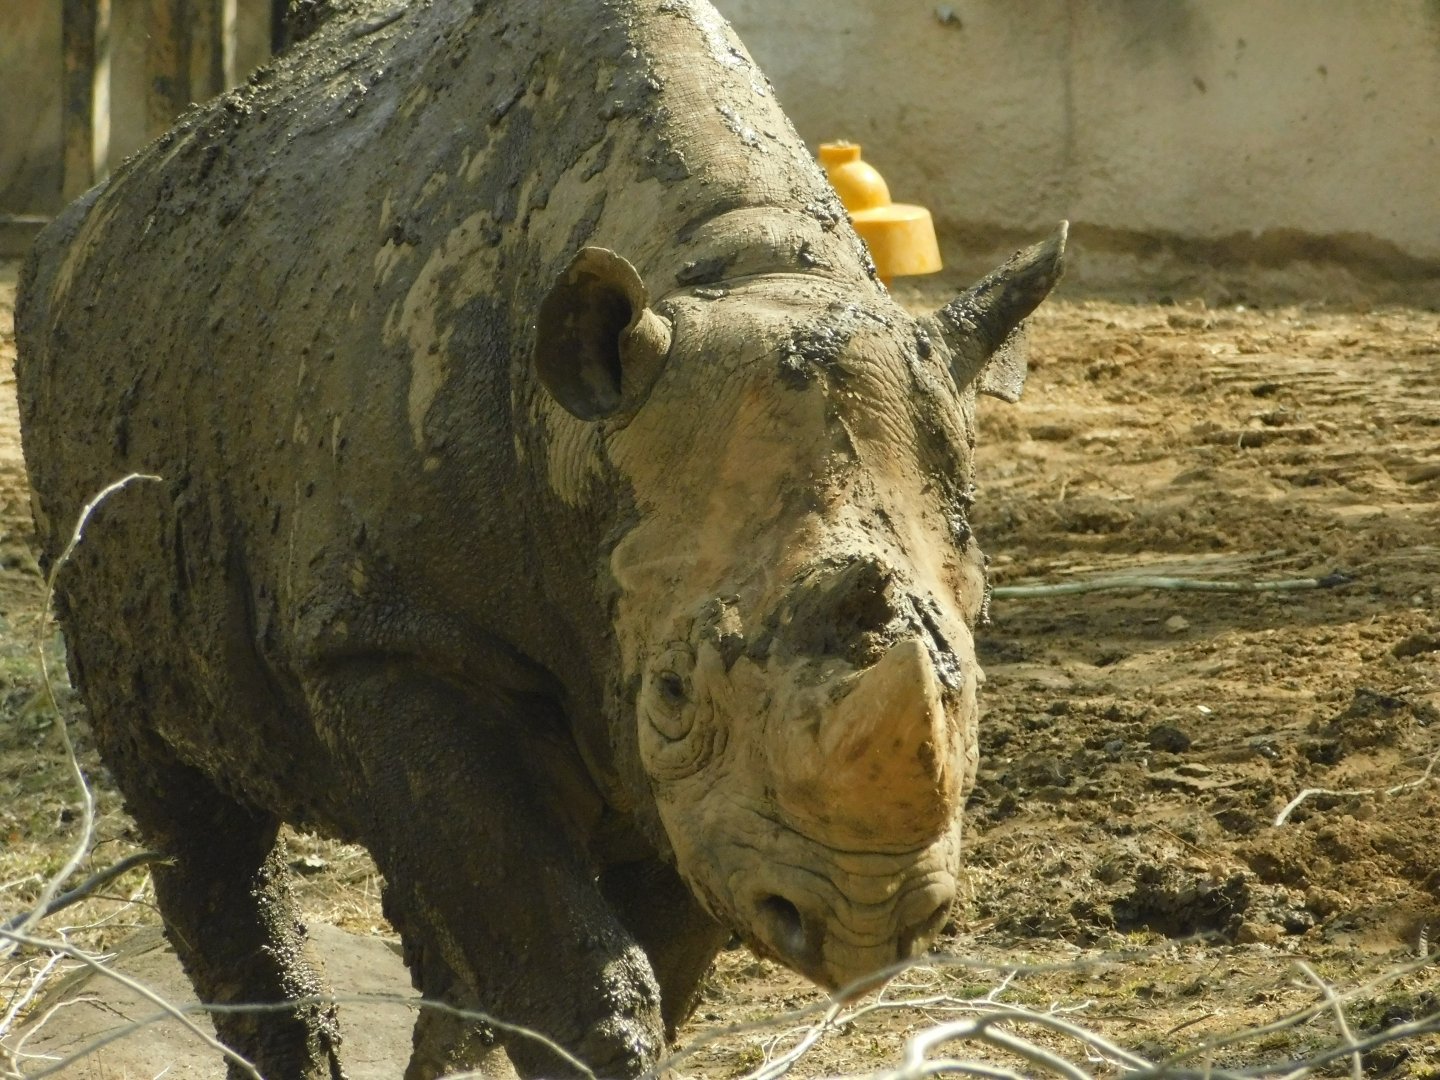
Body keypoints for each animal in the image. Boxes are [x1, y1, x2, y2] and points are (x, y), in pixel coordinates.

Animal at [15, 0, 1064, 1076]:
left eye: (973, 667)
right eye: (672, 694)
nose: (862, 922)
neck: (731, 270)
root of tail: (105, 200)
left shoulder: (689, 770)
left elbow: (649, 944)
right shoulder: (394, 634)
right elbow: (566, 956)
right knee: (188, 812)